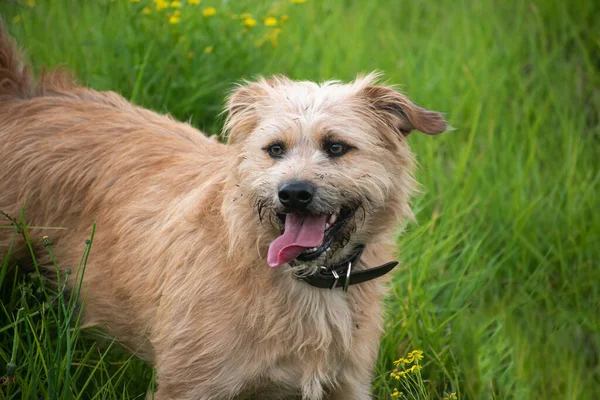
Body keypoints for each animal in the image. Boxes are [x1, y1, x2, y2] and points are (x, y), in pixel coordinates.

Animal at [0, 21, 446, 400]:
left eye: (336, 146)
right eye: (275, 149)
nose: (293, 194)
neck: (300, 284)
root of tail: (24, 96)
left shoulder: (345, 386)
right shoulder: (190, 385)